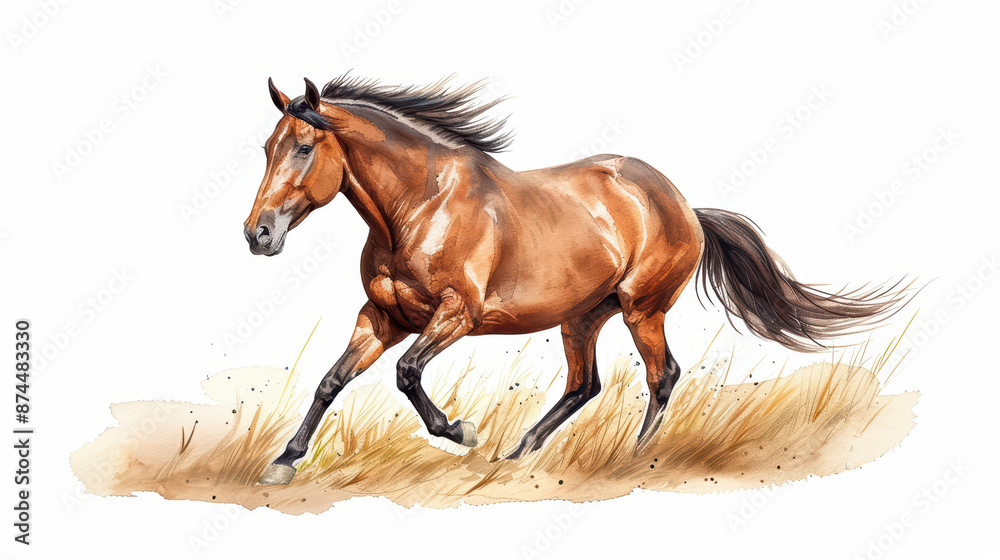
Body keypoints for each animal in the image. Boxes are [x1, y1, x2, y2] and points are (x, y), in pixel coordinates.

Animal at [245, 75, 906, 485]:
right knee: (583, 384)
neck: (420, 205)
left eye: (303, 147)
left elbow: (407, 373)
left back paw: (633, 459)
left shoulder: (456, 315)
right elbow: (331, 381)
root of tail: (684, 205)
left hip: (642, 310)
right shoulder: (381, 318)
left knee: (662, 376)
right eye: (267, 146)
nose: (258, 234)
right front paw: (284, 461)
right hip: (582, 317)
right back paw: (519, 454)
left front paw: (462, 431)